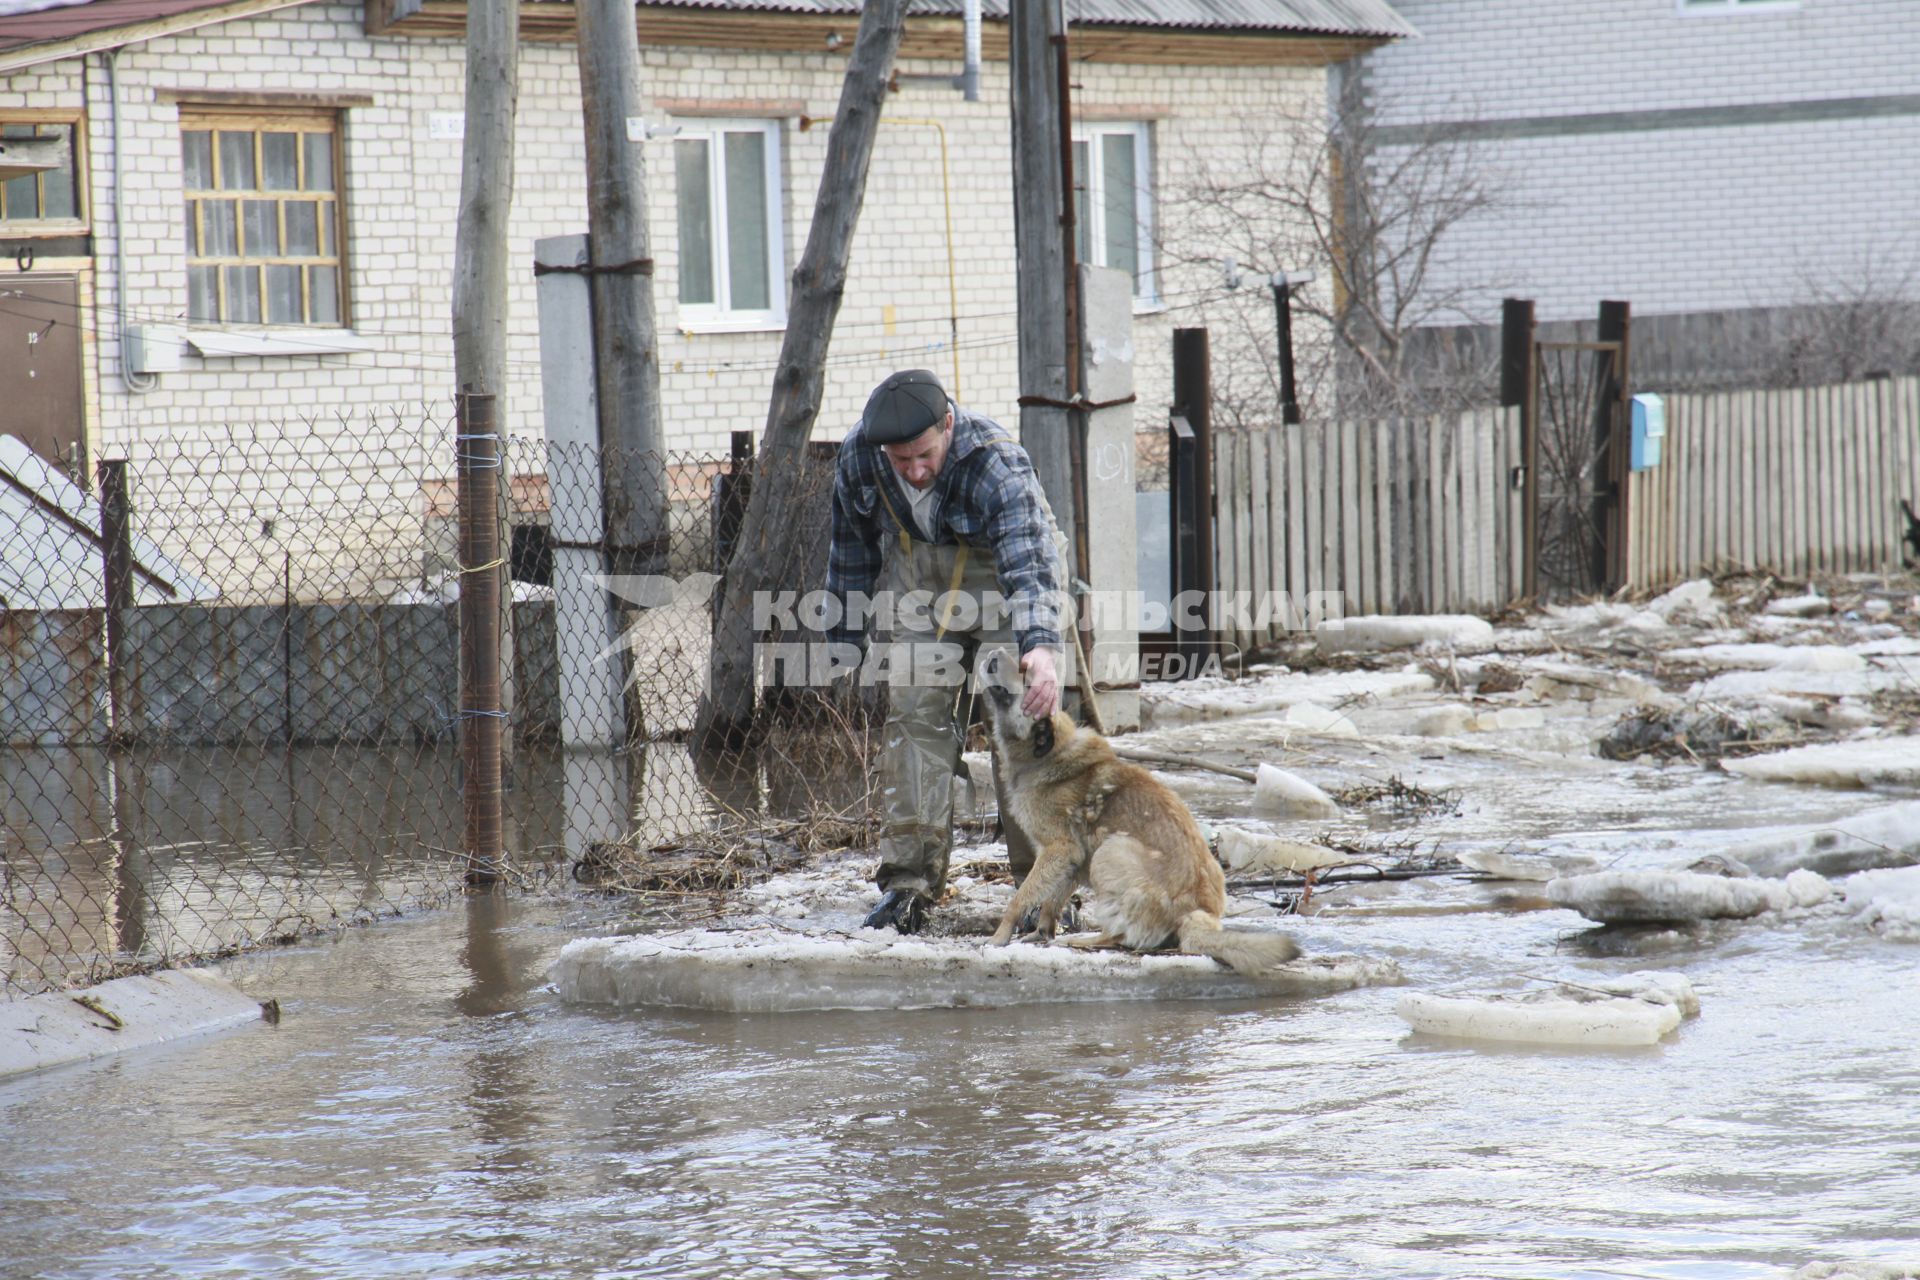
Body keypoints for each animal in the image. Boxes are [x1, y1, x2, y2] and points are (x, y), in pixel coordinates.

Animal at [983, 656, 1297, 974]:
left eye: (1028, 677)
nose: (994, 655)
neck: (1046, 755)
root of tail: (1195, 915)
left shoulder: (1059, 849)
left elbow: (1021, 898)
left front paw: (1000, 936)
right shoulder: (1071, 859)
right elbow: (1051, 901)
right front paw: (1041, 932)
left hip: (1111, 851)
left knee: (1121, 935)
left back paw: (1085, 940)